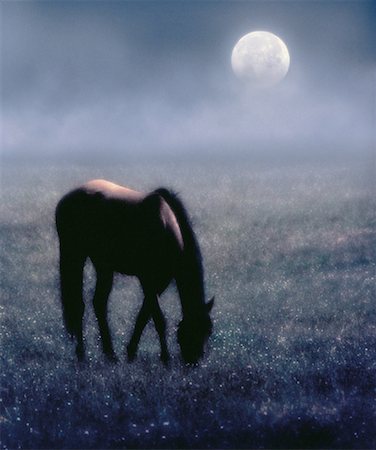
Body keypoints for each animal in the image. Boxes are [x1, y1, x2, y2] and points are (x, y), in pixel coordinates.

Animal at [55, 178, 214, 364]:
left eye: (208, 332)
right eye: (190, 330)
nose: (193, 361)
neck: (165, 227)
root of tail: (67, 199)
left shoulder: (159, 283)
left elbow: (144, 315)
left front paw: (131, 352)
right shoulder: (147, 279)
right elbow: (158, 319)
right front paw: (165, 358)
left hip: (103, 266)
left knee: (99, 303)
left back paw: (110, 354)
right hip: (75, 255)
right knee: (79, 306)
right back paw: (82, 354)